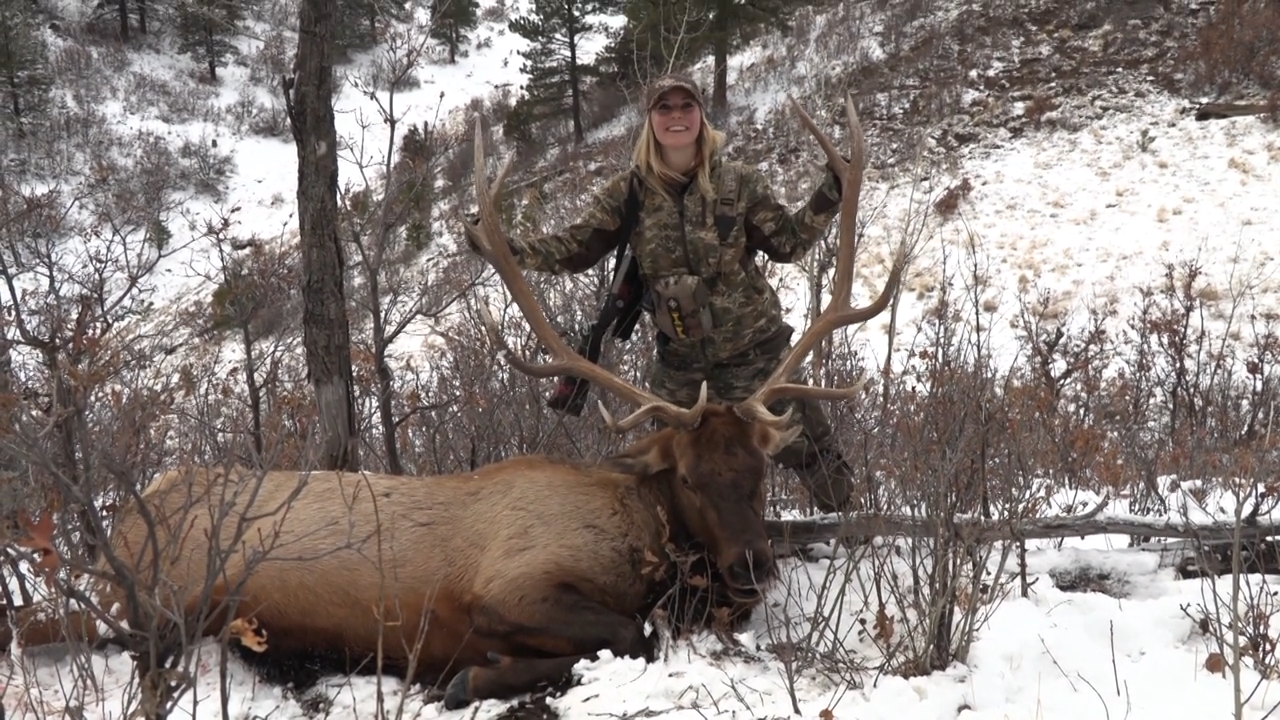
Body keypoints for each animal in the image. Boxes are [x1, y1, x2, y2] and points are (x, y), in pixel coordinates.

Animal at [0, 94, 903, 712]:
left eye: (758, 470)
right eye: (685, 475)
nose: (751, 565)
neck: (643, 535)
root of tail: (123, 517)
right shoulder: (508, 585)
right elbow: (629, 634)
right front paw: (469, 677)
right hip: (151, 599)